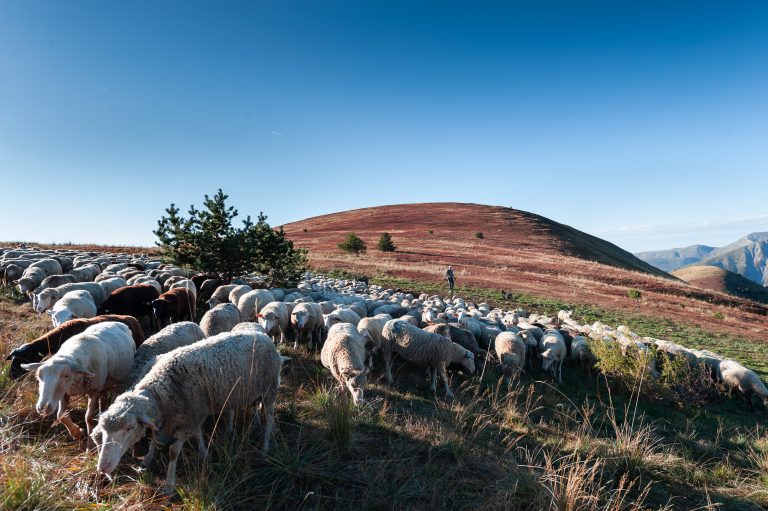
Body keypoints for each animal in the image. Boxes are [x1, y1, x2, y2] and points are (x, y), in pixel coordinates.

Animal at [91, 330, 288, 494]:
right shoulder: (187, 414)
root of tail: (265, 337)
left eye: (130, 428)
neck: (161, 392)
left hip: (269, 389)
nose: (103, 467)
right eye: (104, 431)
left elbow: (174, 451)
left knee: (270, 419)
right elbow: (162, 437)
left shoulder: (189, 418)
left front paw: (169, 484)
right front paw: (148, 458)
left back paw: (265, 448)